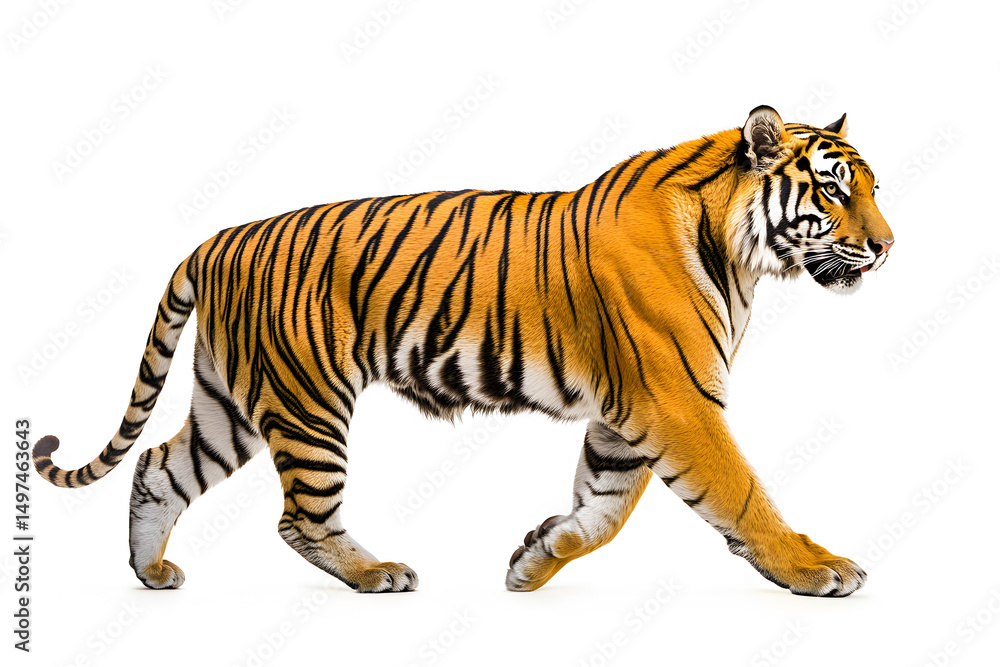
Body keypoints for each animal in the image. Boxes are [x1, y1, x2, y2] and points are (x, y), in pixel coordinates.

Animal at [33, 105, 893, 596]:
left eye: (873, 188)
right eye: (834, 189)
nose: (888, 246)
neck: (738, 251)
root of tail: (213, 242)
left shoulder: (628, 414)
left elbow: (603, 508)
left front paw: (534, 558)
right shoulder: (677, 400)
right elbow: (743, 493)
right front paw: (815, 567)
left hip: (233, 402)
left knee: (159, 466)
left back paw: (151, 572)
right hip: (309, 403)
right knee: (298, 518)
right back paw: (376, 573)